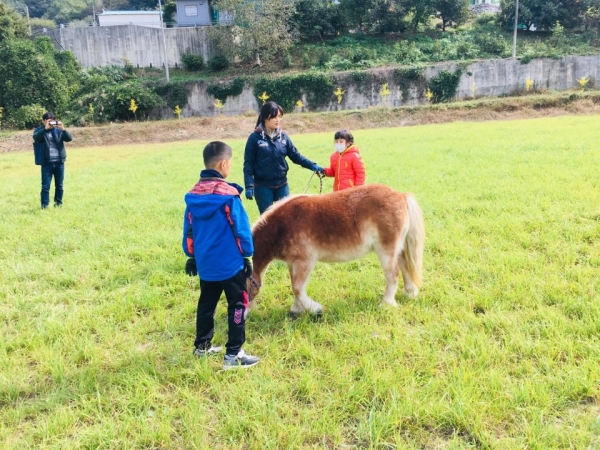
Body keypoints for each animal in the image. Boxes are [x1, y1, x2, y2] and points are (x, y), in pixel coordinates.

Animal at [248, 185, 426, 314]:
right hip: (398, 249)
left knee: (393, 274)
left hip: (386, 250)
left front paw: (313, 308)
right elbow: (295, 286)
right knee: (405, 267)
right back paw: (410, 293)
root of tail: (401, 195)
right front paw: (297, 309)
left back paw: (386, 304)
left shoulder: (305, 261)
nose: (248, 313)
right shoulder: (293, 263)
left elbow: (297, 288)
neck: (282, 226)